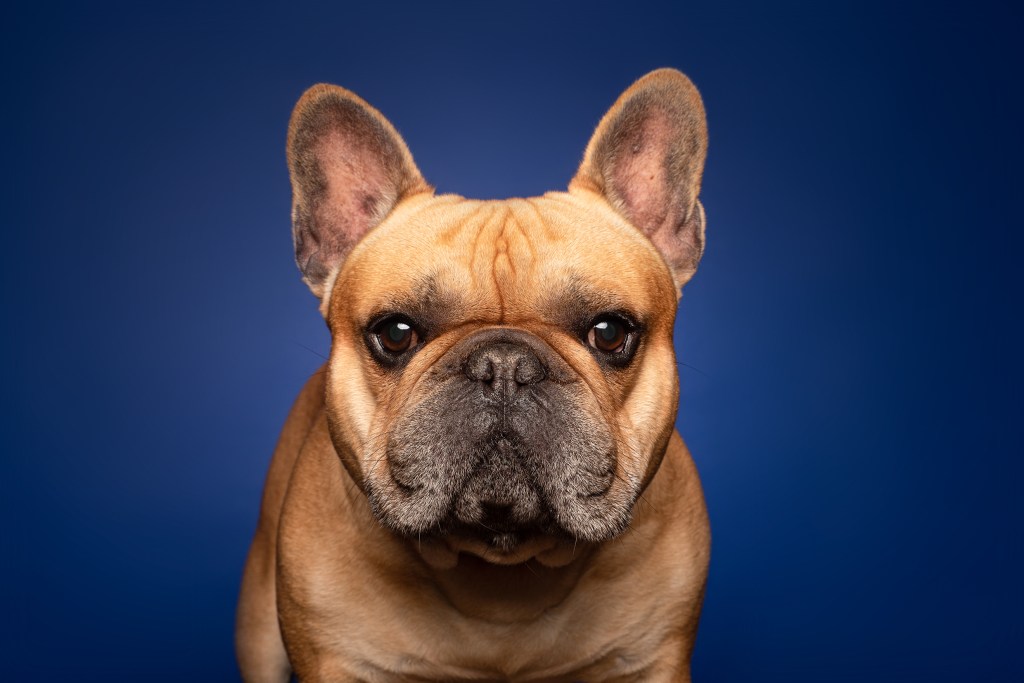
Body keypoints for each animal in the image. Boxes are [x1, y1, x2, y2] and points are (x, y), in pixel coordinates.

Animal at [235, 66, 708, 679]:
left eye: (610, 332)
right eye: (395, 333)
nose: (504, 365)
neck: (497, 569)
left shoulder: (653, 660)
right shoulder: (337, 660)